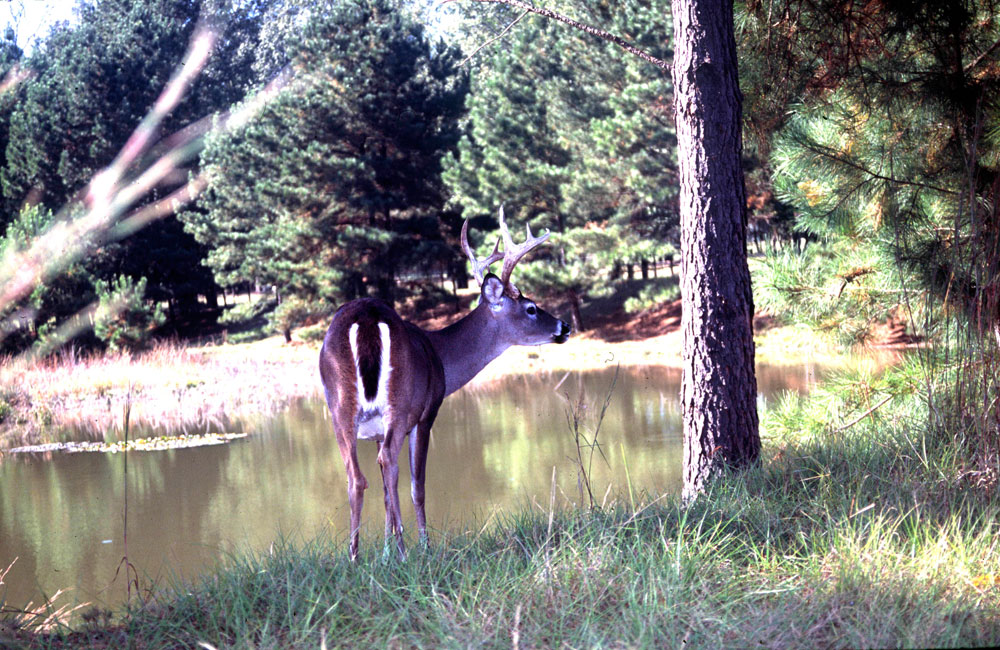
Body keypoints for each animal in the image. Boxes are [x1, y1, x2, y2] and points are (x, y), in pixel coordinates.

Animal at [320, 206, 572, 556]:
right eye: (531, 308)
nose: (565, 326)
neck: (439, 354)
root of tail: (366, 318)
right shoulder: (427, 413)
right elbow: (417, 486)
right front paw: (421, 546)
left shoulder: (375, 433)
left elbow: (384, 493)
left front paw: (384, 553)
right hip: (400, 401)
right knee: (391, 465)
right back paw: (404, 552)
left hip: (339, 408)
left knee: (356, 477)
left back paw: (355, 556)